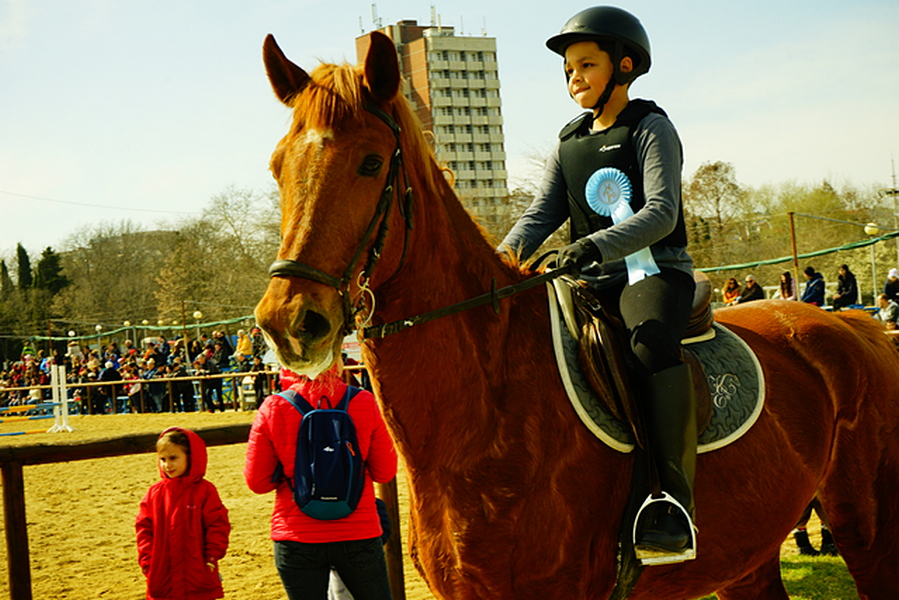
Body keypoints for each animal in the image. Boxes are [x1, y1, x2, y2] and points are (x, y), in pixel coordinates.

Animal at [254, 31, 899, 599]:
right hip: (746, 554)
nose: (290, 323)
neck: (492, 400)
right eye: (278, 165)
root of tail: (861, 325)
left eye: (369, 163)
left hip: (868, 529)